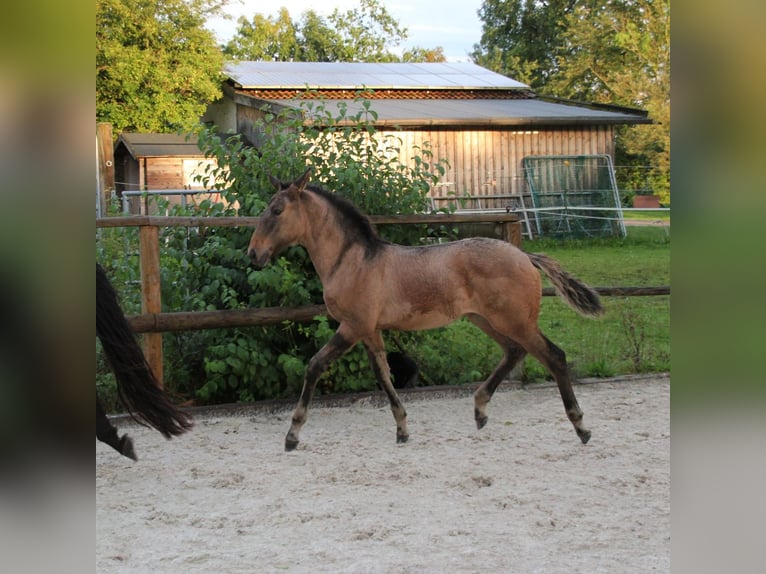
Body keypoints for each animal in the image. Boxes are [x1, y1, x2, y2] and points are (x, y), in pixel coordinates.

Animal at [249, 170, 604, 450]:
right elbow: (383, 375)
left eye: (277, 210)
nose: (254, 254)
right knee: (514, 352)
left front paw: (292, 435)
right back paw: (480, 411)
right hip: (485, 319)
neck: (353, 261)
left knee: (554, 356)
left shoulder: (352, 327)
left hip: (515, 321)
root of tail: (526, 256)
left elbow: (315, 366)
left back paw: (581, 428)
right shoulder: (370, 331)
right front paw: (402, 430)